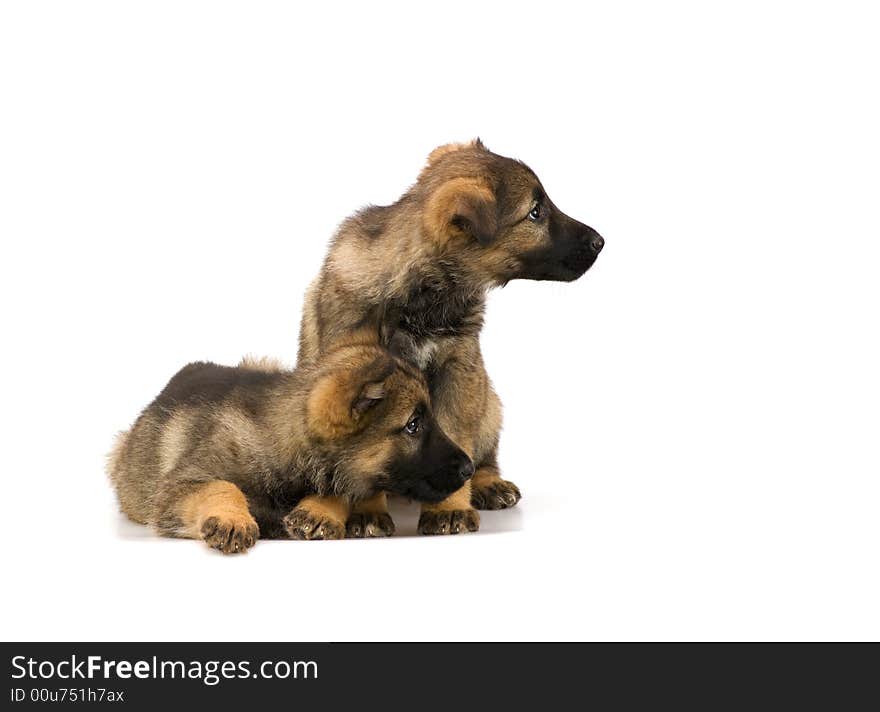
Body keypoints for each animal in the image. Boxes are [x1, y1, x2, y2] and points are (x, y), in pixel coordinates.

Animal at [108, 340, 474, 556]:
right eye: (413, 425)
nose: (470, 468)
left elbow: (338, 490)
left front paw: (318, 511)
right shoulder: (177, 487)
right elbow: (222, 485)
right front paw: (232, 518)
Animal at [300, 139, 600, 536]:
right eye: (535, 213)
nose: (601, 241)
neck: (419, 295)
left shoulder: (457, 371)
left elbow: (457, 438)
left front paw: (448, 509)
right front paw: (363, 513)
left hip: (488, 401)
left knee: (484, 455)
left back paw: (489, 483)